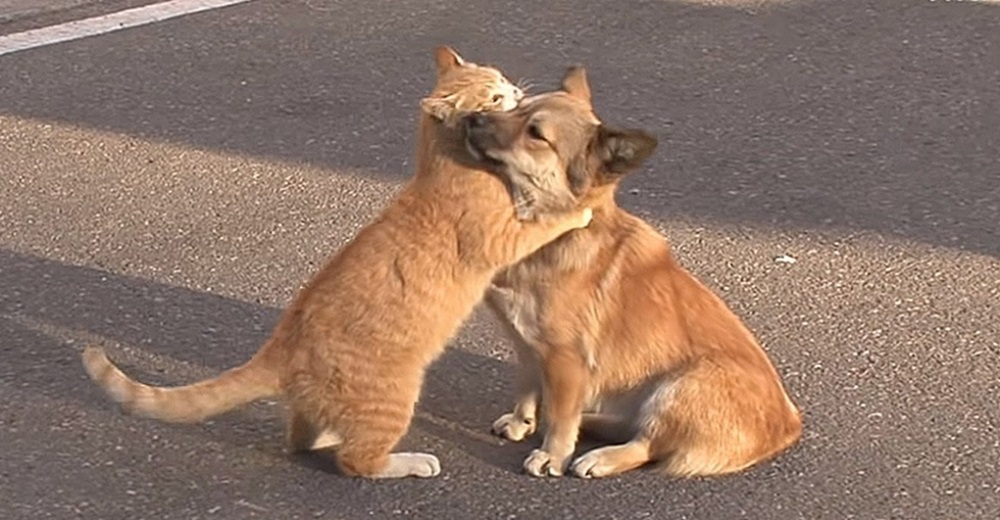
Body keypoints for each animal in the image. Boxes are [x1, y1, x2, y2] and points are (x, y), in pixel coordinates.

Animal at [462, 66, 804, 480]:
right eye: (517, 106)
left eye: (536, 133)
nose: (472, 118)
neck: (556, 233)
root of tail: (789, 425)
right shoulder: (527, 346)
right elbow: (527, 390)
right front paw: (520, 422)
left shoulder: (566, 360)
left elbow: (561, 418)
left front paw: (552, 455)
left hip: (680, 386)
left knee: (647, 444)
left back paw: (600, 457)